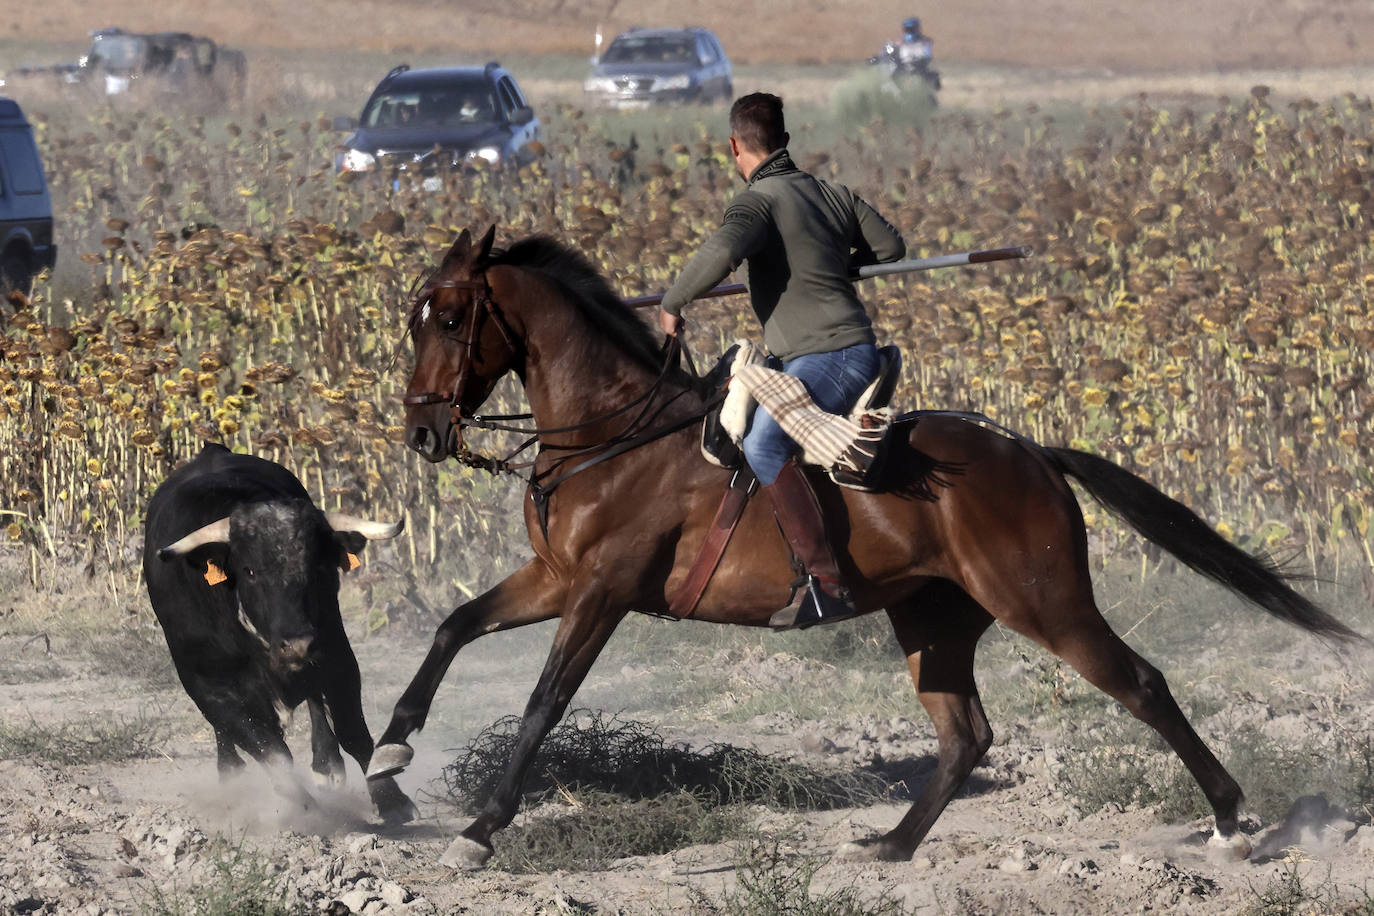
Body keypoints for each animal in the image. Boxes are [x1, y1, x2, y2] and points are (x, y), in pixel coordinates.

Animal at [143, 444, 417, 823]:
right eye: (250, 570)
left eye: (319, 566)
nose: (298, 644)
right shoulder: (209, 688)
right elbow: (268, 748)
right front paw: (302, 807)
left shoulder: (337, 657)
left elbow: (352, 731)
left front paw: (391, 798)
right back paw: (232, 777)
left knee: (317, 704)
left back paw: (327, 766)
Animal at [368, 225, 1363, 873]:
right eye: (414, 318)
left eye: (449, 319)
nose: (421, 434)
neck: (610, 432)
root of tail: (1031, 451)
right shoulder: (552, 578)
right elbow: (453, 628)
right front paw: (387, 775)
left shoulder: (600, 592)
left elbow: (544, 701)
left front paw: (481, 827)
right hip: (935, 620)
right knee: (966, 734)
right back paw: (892, 842)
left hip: (1045, 605)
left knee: (1142, 686)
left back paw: (1232, 823)